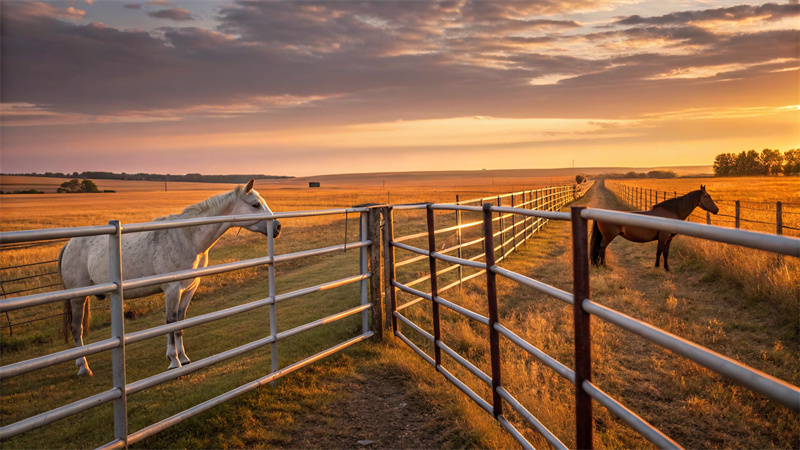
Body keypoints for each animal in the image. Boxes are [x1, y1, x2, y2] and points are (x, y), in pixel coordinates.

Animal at [59, 179, 280, 376]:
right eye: (255, 204)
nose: (277, 227)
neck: (187, 237)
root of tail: (69, 244)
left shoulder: (189, 289)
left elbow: (180, 323)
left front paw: (184, 358)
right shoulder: (173, 290)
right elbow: (170, 322)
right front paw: (173, 361)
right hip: (78, 298)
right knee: (76, 329)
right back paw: (83, 368)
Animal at [592, 185, 720, 270]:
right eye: (706, 196)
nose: (717, 210)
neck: (672, 213)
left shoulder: (668, 239)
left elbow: (665, 253)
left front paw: (667, 268)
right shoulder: (662, 237)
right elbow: (659, 252)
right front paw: (657, 267)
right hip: (609, 237)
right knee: (602, 247)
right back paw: (603, 265)